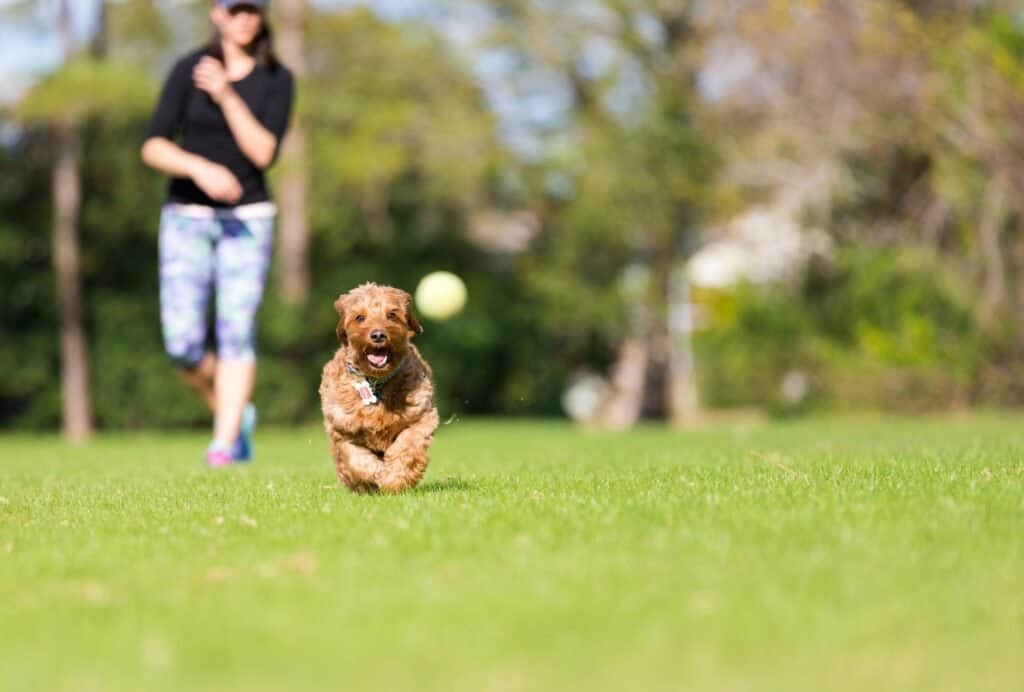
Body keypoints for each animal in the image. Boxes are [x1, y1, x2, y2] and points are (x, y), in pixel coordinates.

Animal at [315, 282, 436, 491]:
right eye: (359, 317)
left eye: (392, 315)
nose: (378, 335)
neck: (374, 382)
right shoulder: (342, 430)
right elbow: (357, 461)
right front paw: (377, 475)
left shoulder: (422, 417)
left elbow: (407, 447)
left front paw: (394, 480)